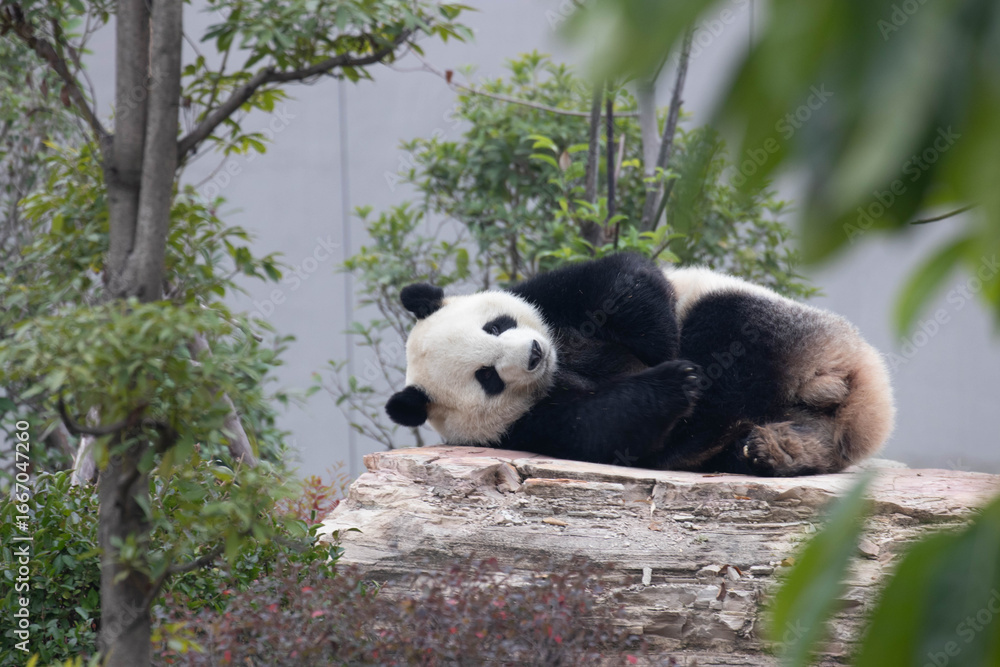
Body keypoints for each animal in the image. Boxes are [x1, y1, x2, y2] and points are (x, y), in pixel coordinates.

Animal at [386, 253, 894, 476]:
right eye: (487, 377)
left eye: (495, 326)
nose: (533, 354)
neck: (565, 361)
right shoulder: (522, 426)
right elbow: (602, 428)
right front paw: (671, 383)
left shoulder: (547, 295)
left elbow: (624, 278)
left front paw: (662, 349)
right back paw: (737, 445)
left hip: (797, 325)